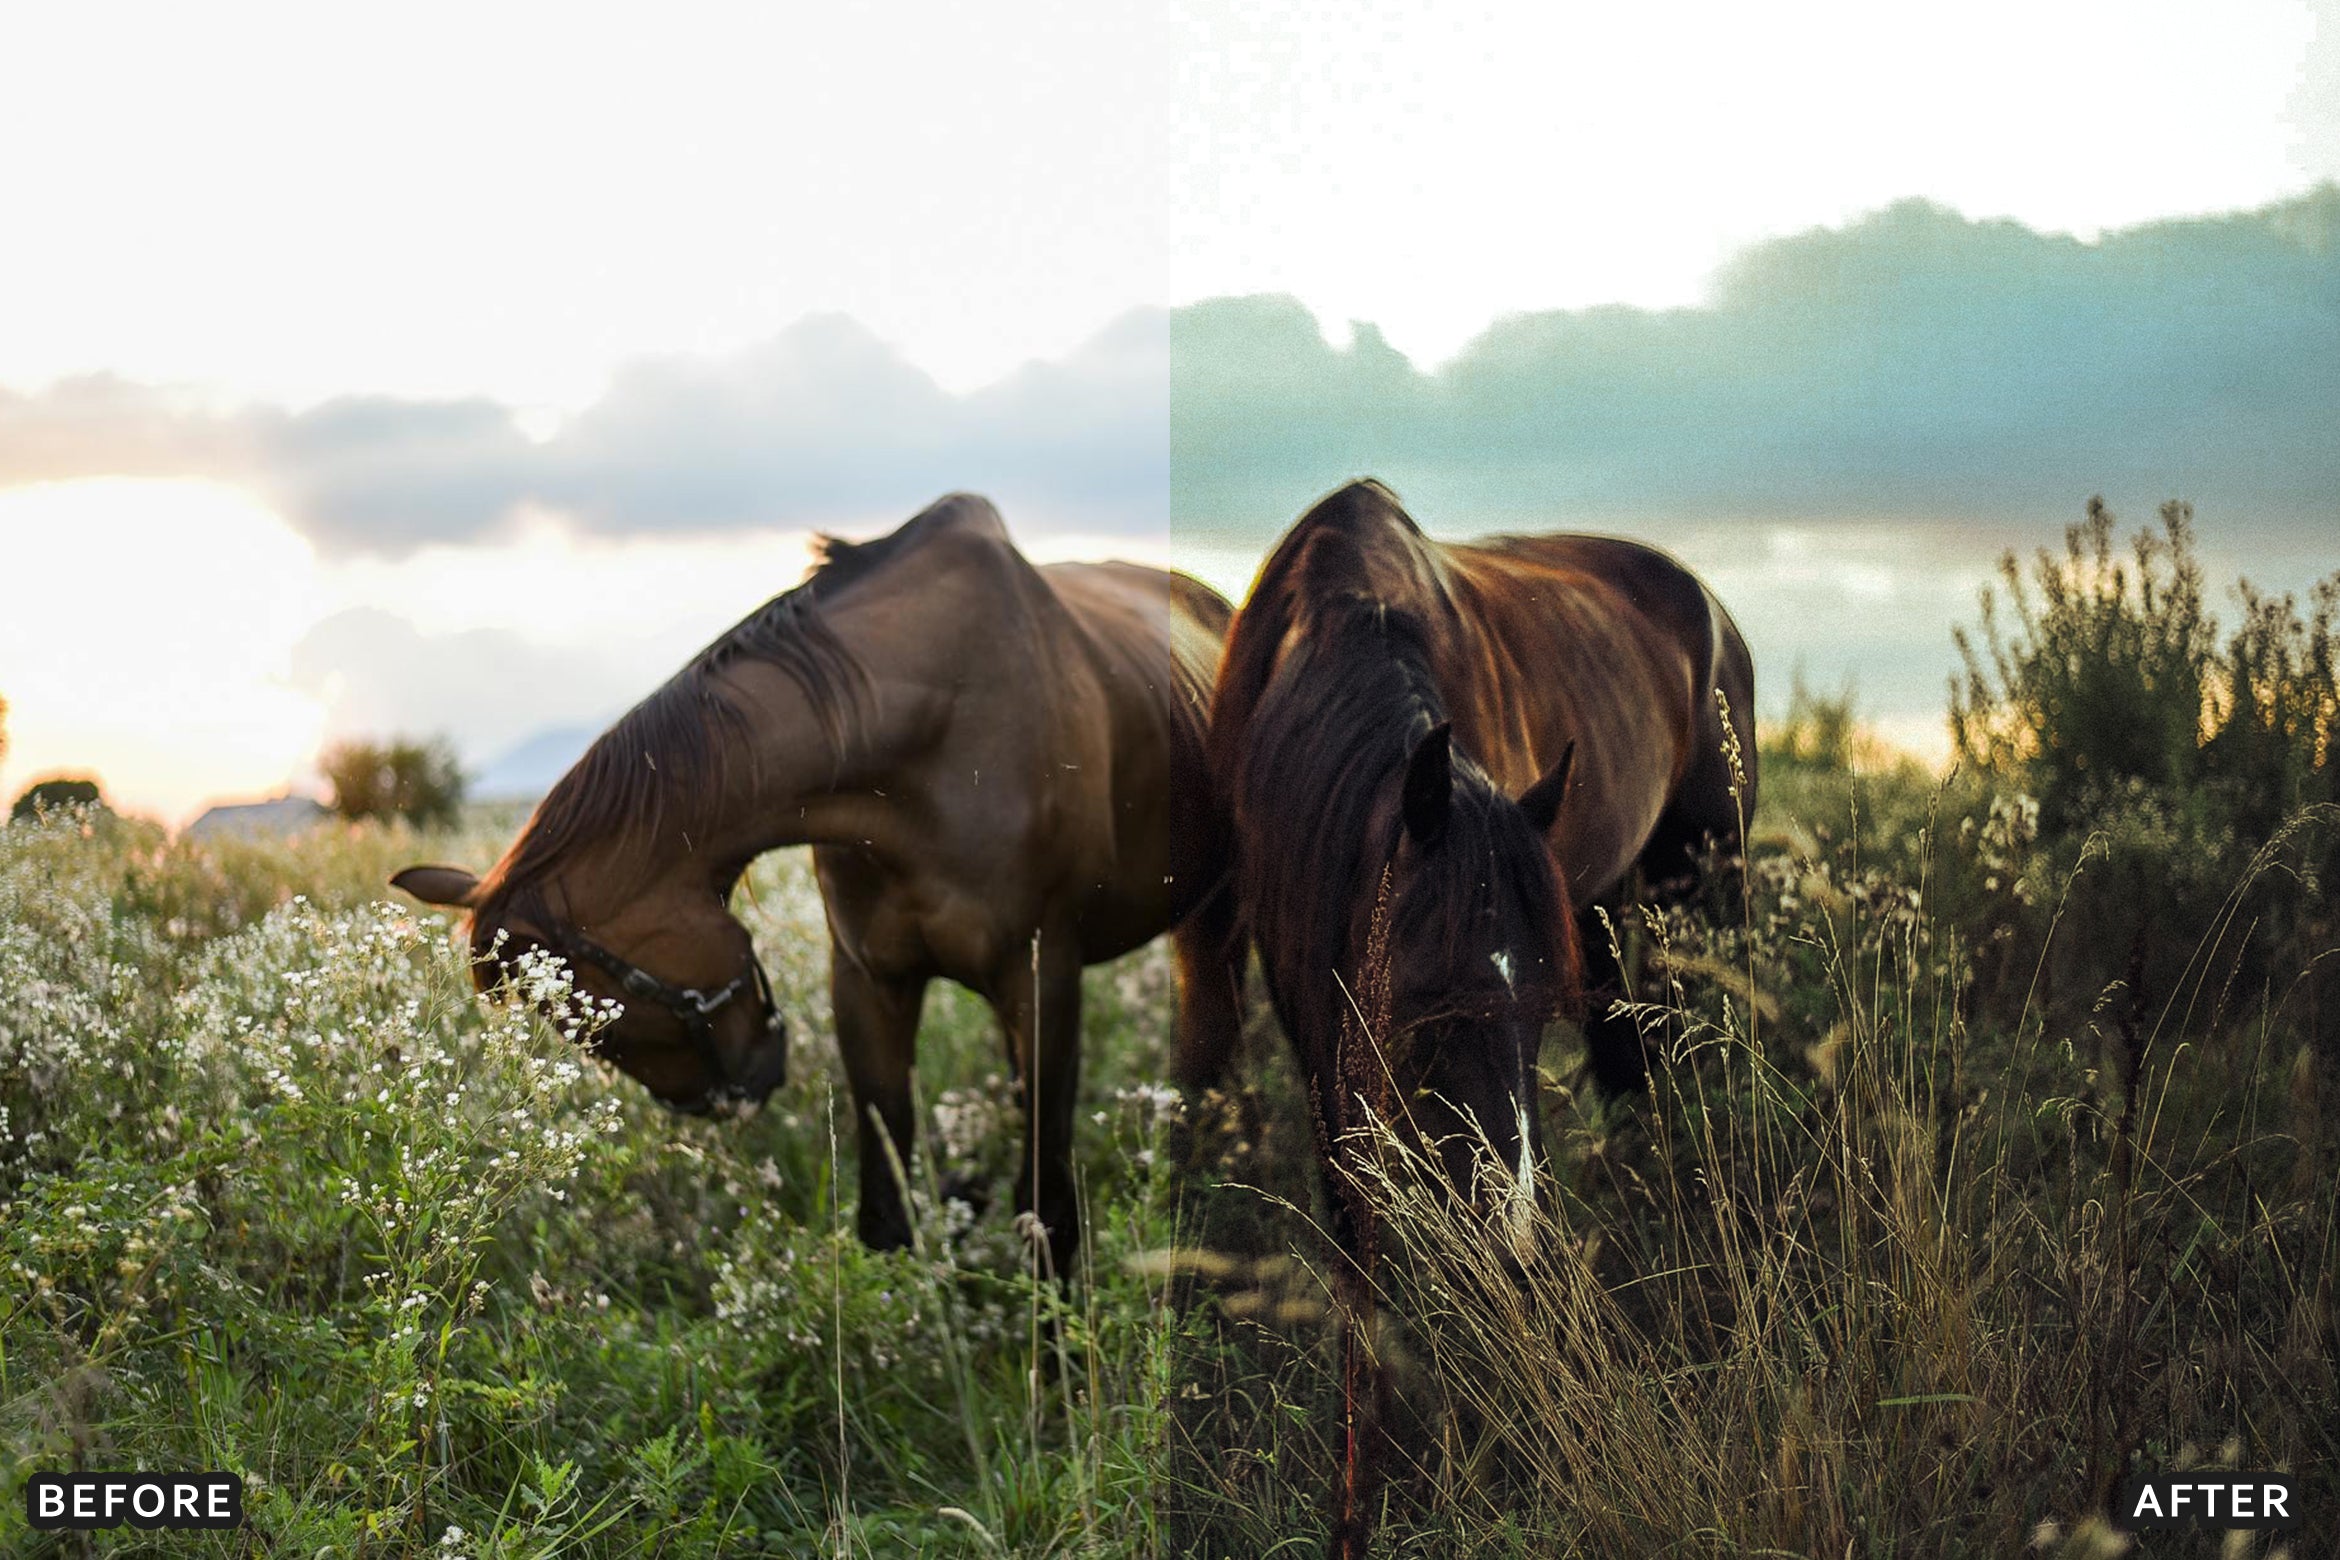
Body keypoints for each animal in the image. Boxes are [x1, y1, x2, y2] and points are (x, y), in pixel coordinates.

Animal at [393, 493, 1241, 1276]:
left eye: (611, 1014)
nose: (738, 1090)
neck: (932, 735)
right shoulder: (868, 981)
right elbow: (886, 1206)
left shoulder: (1045, 974)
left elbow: (1049, 1207)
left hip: (1211, 917)